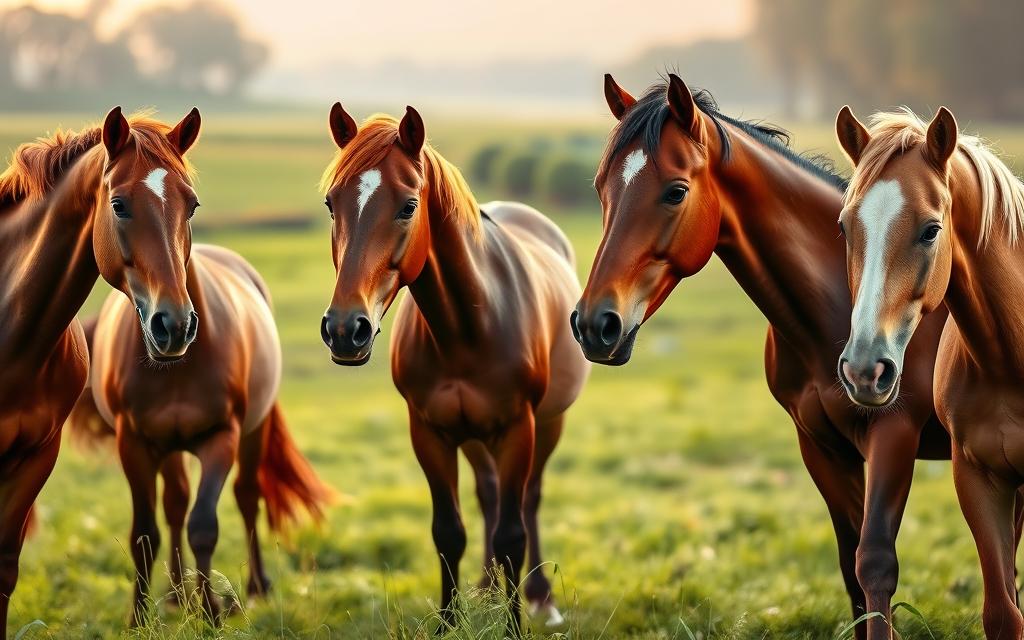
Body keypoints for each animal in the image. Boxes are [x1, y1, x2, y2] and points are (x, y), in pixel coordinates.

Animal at [71, 243, 331, 622]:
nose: (173, 326)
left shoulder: (221, 437)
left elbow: (204, 526)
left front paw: (211, 612)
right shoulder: (135, 444)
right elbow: (144, 534)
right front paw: (139, 618)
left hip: (254, 430)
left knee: (246, 497)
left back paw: (256, 587)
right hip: (169, 448)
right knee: (176, 503)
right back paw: (176, 595)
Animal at [319, 104, 593, 634]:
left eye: (408, 205)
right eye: (330, 203)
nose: (345, 329)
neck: (468, 325)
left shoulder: (518, 429)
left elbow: (511, 534)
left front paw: (512, 627)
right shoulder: (430, 432)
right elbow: (448, 531)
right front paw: (449, 623)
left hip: (549, 422)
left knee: (528, 500)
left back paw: (540, 598)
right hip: (474, 436)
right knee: (488, 495)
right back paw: (487, 588)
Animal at [577, 76, 950, 638]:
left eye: (675, 191)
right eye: (602, 188)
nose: (592, 325)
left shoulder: (895, 432)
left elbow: (876, 565)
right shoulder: (821, 445)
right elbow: (852, 570)